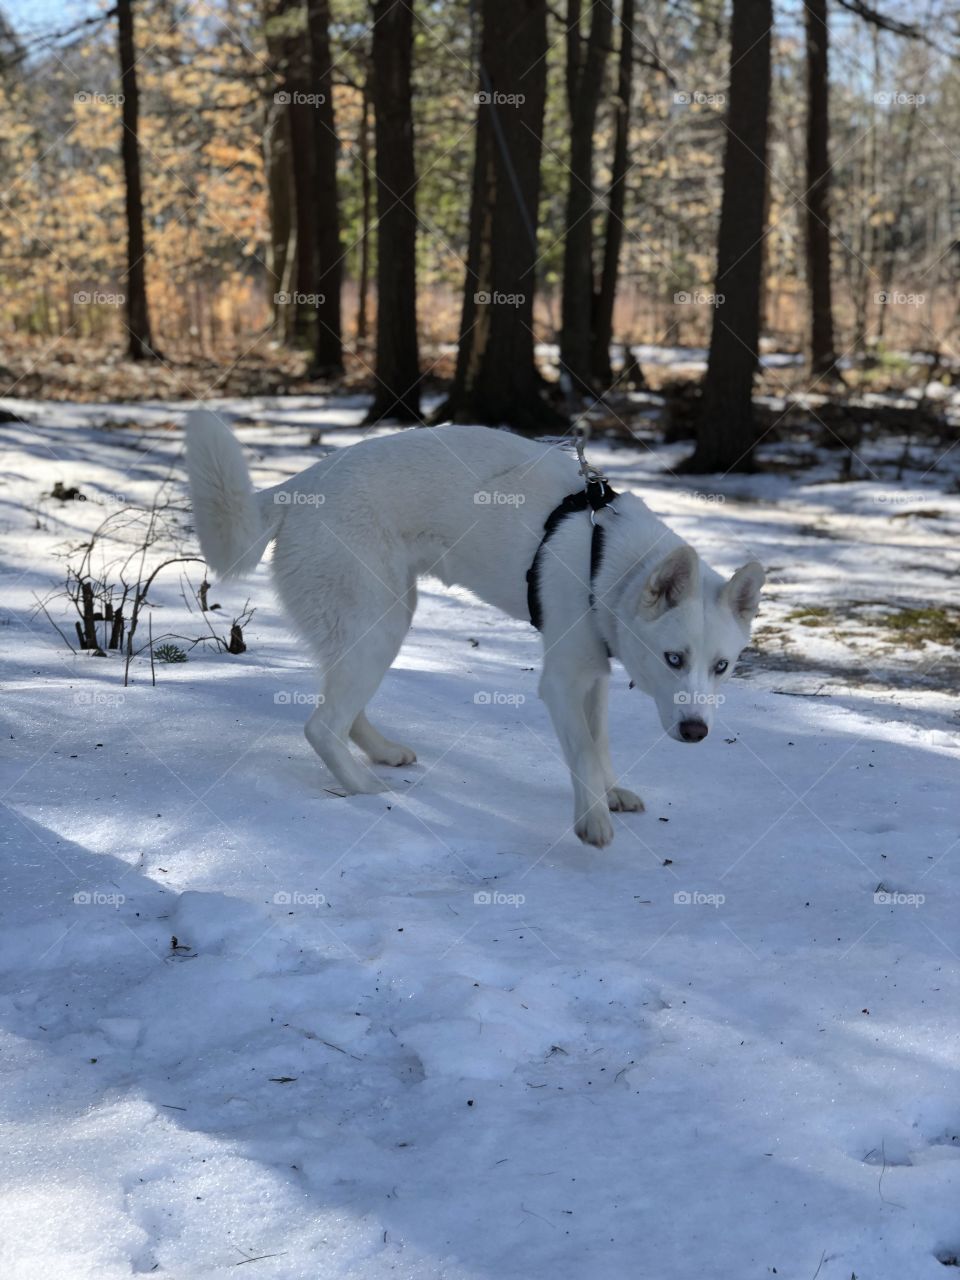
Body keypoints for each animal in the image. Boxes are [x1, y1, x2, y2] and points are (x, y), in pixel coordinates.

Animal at [184, 412, 762, 849]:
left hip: (380, 622)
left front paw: (611, 794)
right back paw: (368, 788)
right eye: (673, 659)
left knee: (341, 714)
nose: (696, 732)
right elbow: (581, 750)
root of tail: (300, 486)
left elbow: (599, 746)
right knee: (321, 727)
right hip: (379, 624)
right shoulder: (561, 682)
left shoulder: (595, 674)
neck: (609, 565)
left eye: (722, 667)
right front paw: (593, 820)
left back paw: (383, 754)